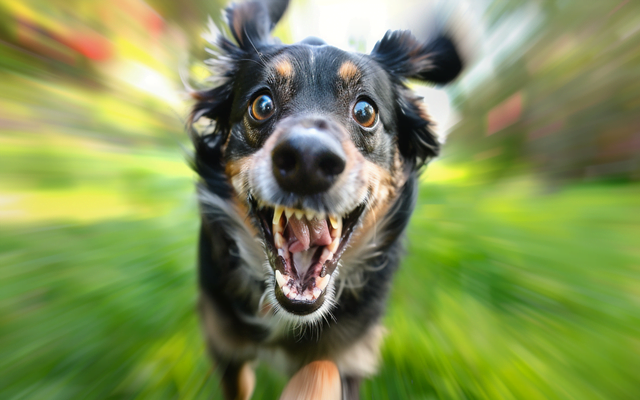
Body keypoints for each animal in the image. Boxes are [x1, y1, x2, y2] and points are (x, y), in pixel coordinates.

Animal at [188, 0, 462, 396]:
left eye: (365, 111)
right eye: (262, 104)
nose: (308, 161)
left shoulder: (347, 355)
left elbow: (320, 370)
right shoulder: (227, 348)